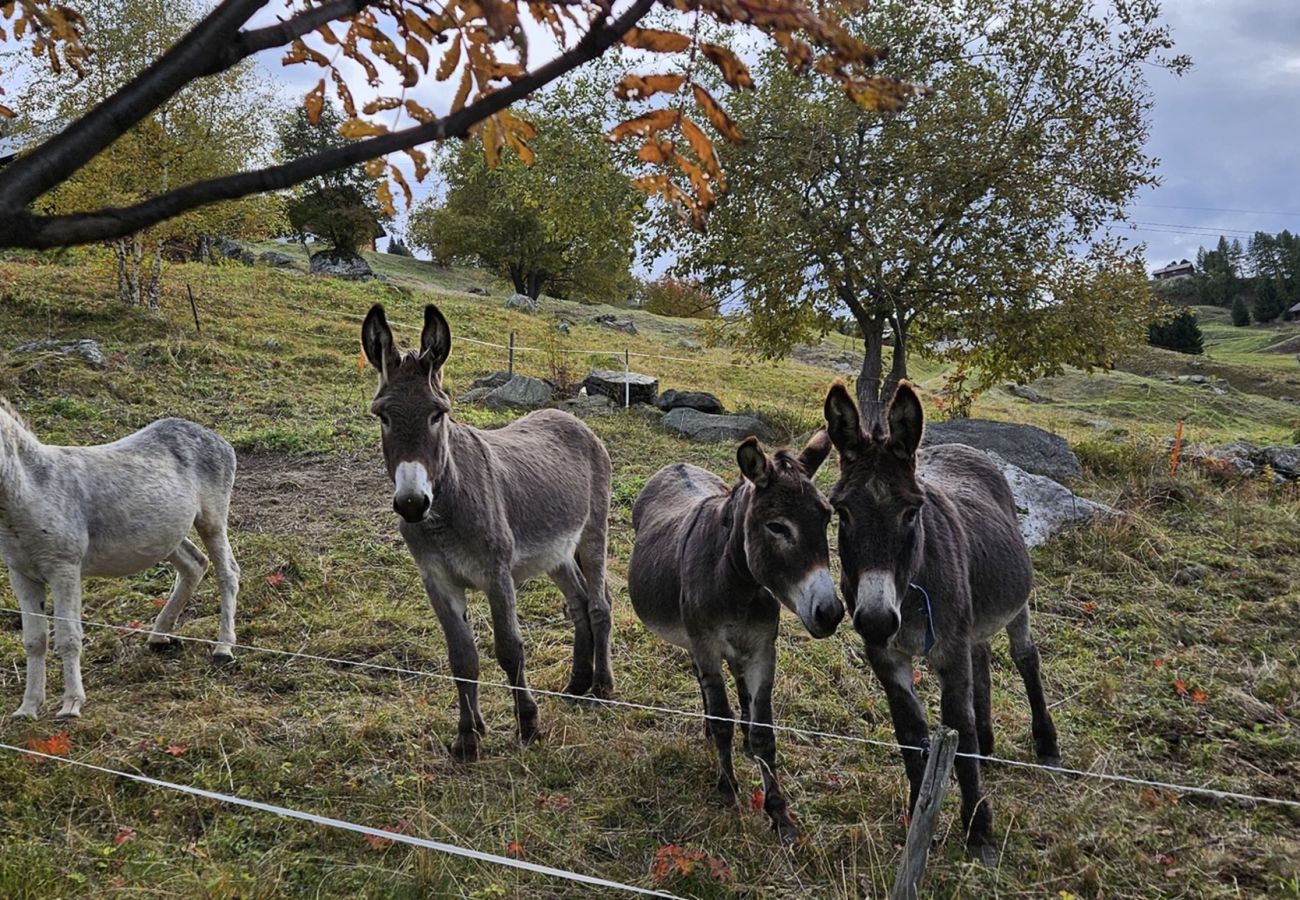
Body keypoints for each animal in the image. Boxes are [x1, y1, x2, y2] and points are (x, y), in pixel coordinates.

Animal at [0, 400, 241, 717]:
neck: (31, 493)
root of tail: (218, 438)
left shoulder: (64, 568)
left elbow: (68, 637)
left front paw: (71, 705)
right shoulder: (21, 573)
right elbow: (34, 640)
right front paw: (27, 709)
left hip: (211, 519)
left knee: (227, 573)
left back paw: (223, 649)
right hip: (166, 535)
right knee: (195, 564)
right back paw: (158, 636)